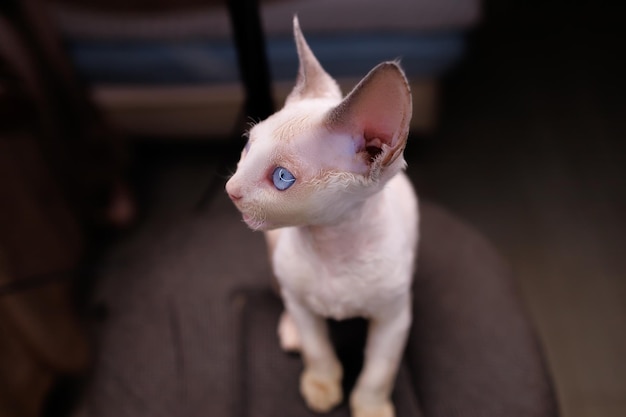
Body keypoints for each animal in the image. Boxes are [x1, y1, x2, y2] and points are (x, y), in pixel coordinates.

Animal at [223, 16, 414, 416]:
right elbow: (318, 350)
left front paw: (371, 408)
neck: (332, 245)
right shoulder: (301, 304)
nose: (231, 190)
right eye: (247, 146)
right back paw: (291, 331)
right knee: (285, 296)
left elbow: (378, 372)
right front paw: (321, 388)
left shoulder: (395, 318)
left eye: (282, 178)